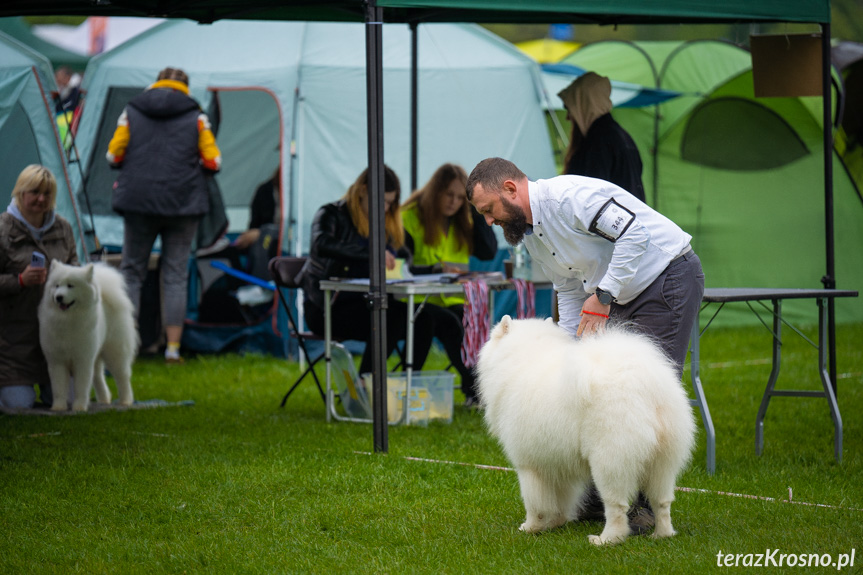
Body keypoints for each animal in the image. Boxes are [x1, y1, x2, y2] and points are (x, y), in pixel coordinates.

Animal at [37, 260, 139, 414]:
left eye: (70, 285)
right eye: (57, 285)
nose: (58, 297)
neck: (67, 320)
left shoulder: (82, 360)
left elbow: (81, 386)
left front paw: (79, 407)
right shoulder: (57, 361)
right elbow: (58, 388)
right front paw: (58, 407)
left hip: (115, 353)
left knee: (123, 377)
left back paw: (126, 401)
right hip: (96, 356)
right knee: (98, 377)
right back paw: (104, 399)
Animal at [476, 318, 700, 548]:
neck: (522, 359)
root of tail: (646, 386)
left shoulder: (529, 465)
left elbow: (535, 503)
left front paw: (530, 528)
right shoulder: (557, 463)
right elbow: (561, 499)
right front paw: (556, 522)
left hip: (609, 461)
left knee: (617, 506)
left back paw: (605, 539)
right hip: (663, 463)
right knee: (662, 502)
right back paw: (662, 534)